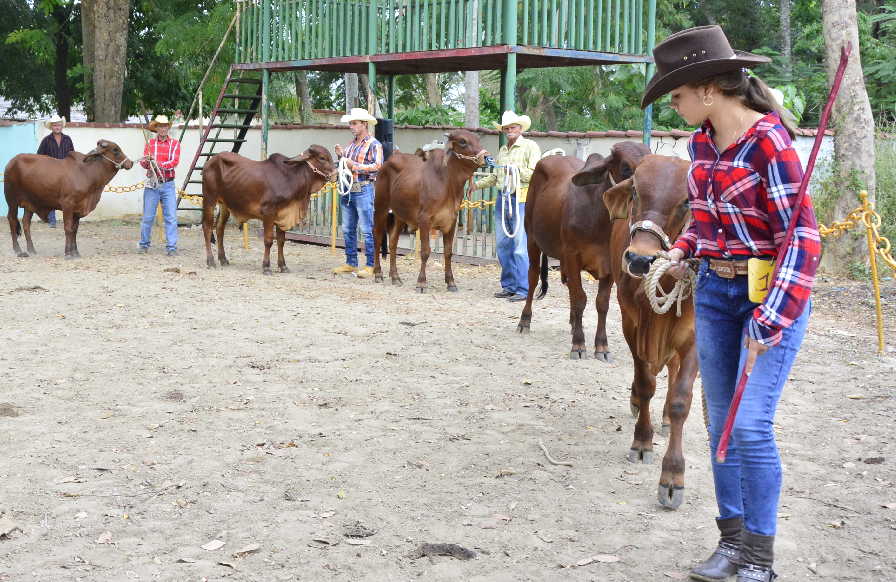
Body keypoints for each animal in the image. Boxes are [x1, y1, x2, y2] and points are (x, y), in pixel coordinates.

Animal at [5, 140, 135, 258]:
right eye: (115, 150)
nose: (131, 163)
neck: (87, 173)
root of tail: (12, 161)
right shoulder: (67, 205)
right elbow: (68, 228)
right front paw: (68, 253)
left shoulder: (77, 210)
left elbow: (74, 230)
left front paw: (75, 252)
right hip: (12, 200)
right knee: (12, 220)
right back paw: (18, 250)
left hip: (30, 203)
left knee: (26, 223)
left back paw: (31, 249)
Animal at [201, 145, 338, 274]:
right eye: (322, 158)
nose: (336, 175)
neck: (291, 178)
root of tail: (211, 161)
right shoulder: (268, 213)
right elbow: (268, 240)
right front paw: (266, 267)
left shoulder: (283, 215)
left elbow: (281, 241)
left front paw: (283, 266)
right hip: (209, 199)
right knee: (207, 227)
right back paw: (210, 261)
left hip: (224, 204)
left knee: (220, 228)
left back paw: (223, 259)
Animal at [372, 128, 490, 292]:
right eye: (462, 141)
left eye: (478, 139)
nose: (486, 156)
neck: (448, 183)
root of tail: (388, 161)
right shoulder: (424, 220)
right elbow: (425, 251)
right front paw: (421, 282)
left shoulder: (451, 221)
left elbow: (448, 252)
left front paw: (451, 282)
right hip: (381, 208)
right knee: (377, 238)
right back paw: (378, 273)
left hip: (399, 215)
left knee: (393, 242)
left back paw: (395, 277)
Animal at [516, 141, 648, 360]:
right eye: (626, 167)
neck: (601, 223)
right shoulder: (572, 256)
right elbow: (580, 299)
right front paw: (578, 344)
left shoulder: (609, 264)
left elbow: (601, 303)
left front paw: (601, 346)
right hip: (532, 240)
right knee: (533, 277)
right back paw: (524, 320)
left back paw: (572, 323)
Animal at [572, 155, 696, 512]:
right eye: (637, 191)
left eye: (687, 201)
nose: (641, 258)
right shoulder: (631, 324)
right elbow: (645, 384)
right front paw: (642, 441)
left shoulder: (694, 335)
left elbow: (681, 399)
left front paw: (673, 477)